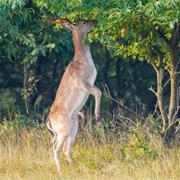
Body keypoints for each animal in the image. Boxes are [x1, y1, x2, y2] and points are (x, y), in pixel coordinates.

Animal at [46, 17, 101, 174]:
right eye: (83, 22)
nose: (94, 21)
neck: (83, 62)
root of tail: (49, 122)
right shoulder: (82, 83)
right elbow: (98, 92)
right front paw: (97, 116)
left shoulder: (90, 83)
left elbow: (98, 90)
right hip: (63, 130)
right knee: (56, 148)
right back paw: (61, 171)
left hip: (73, 128)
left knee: (66, 149)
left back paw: (75, 167)